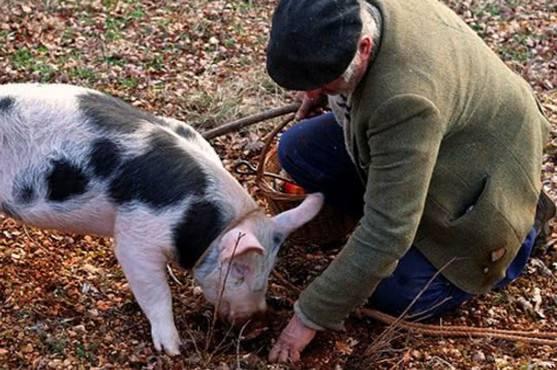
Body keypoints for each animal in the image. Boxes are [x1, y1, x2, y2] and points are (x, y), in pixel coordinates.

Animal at [0, 84, 324, 356]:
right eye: (239, 271)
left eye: (268, 271)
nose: (258, 322)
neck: (202, 222)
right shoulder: (136, 237)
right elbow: (156, 292)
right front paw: (173, 349)